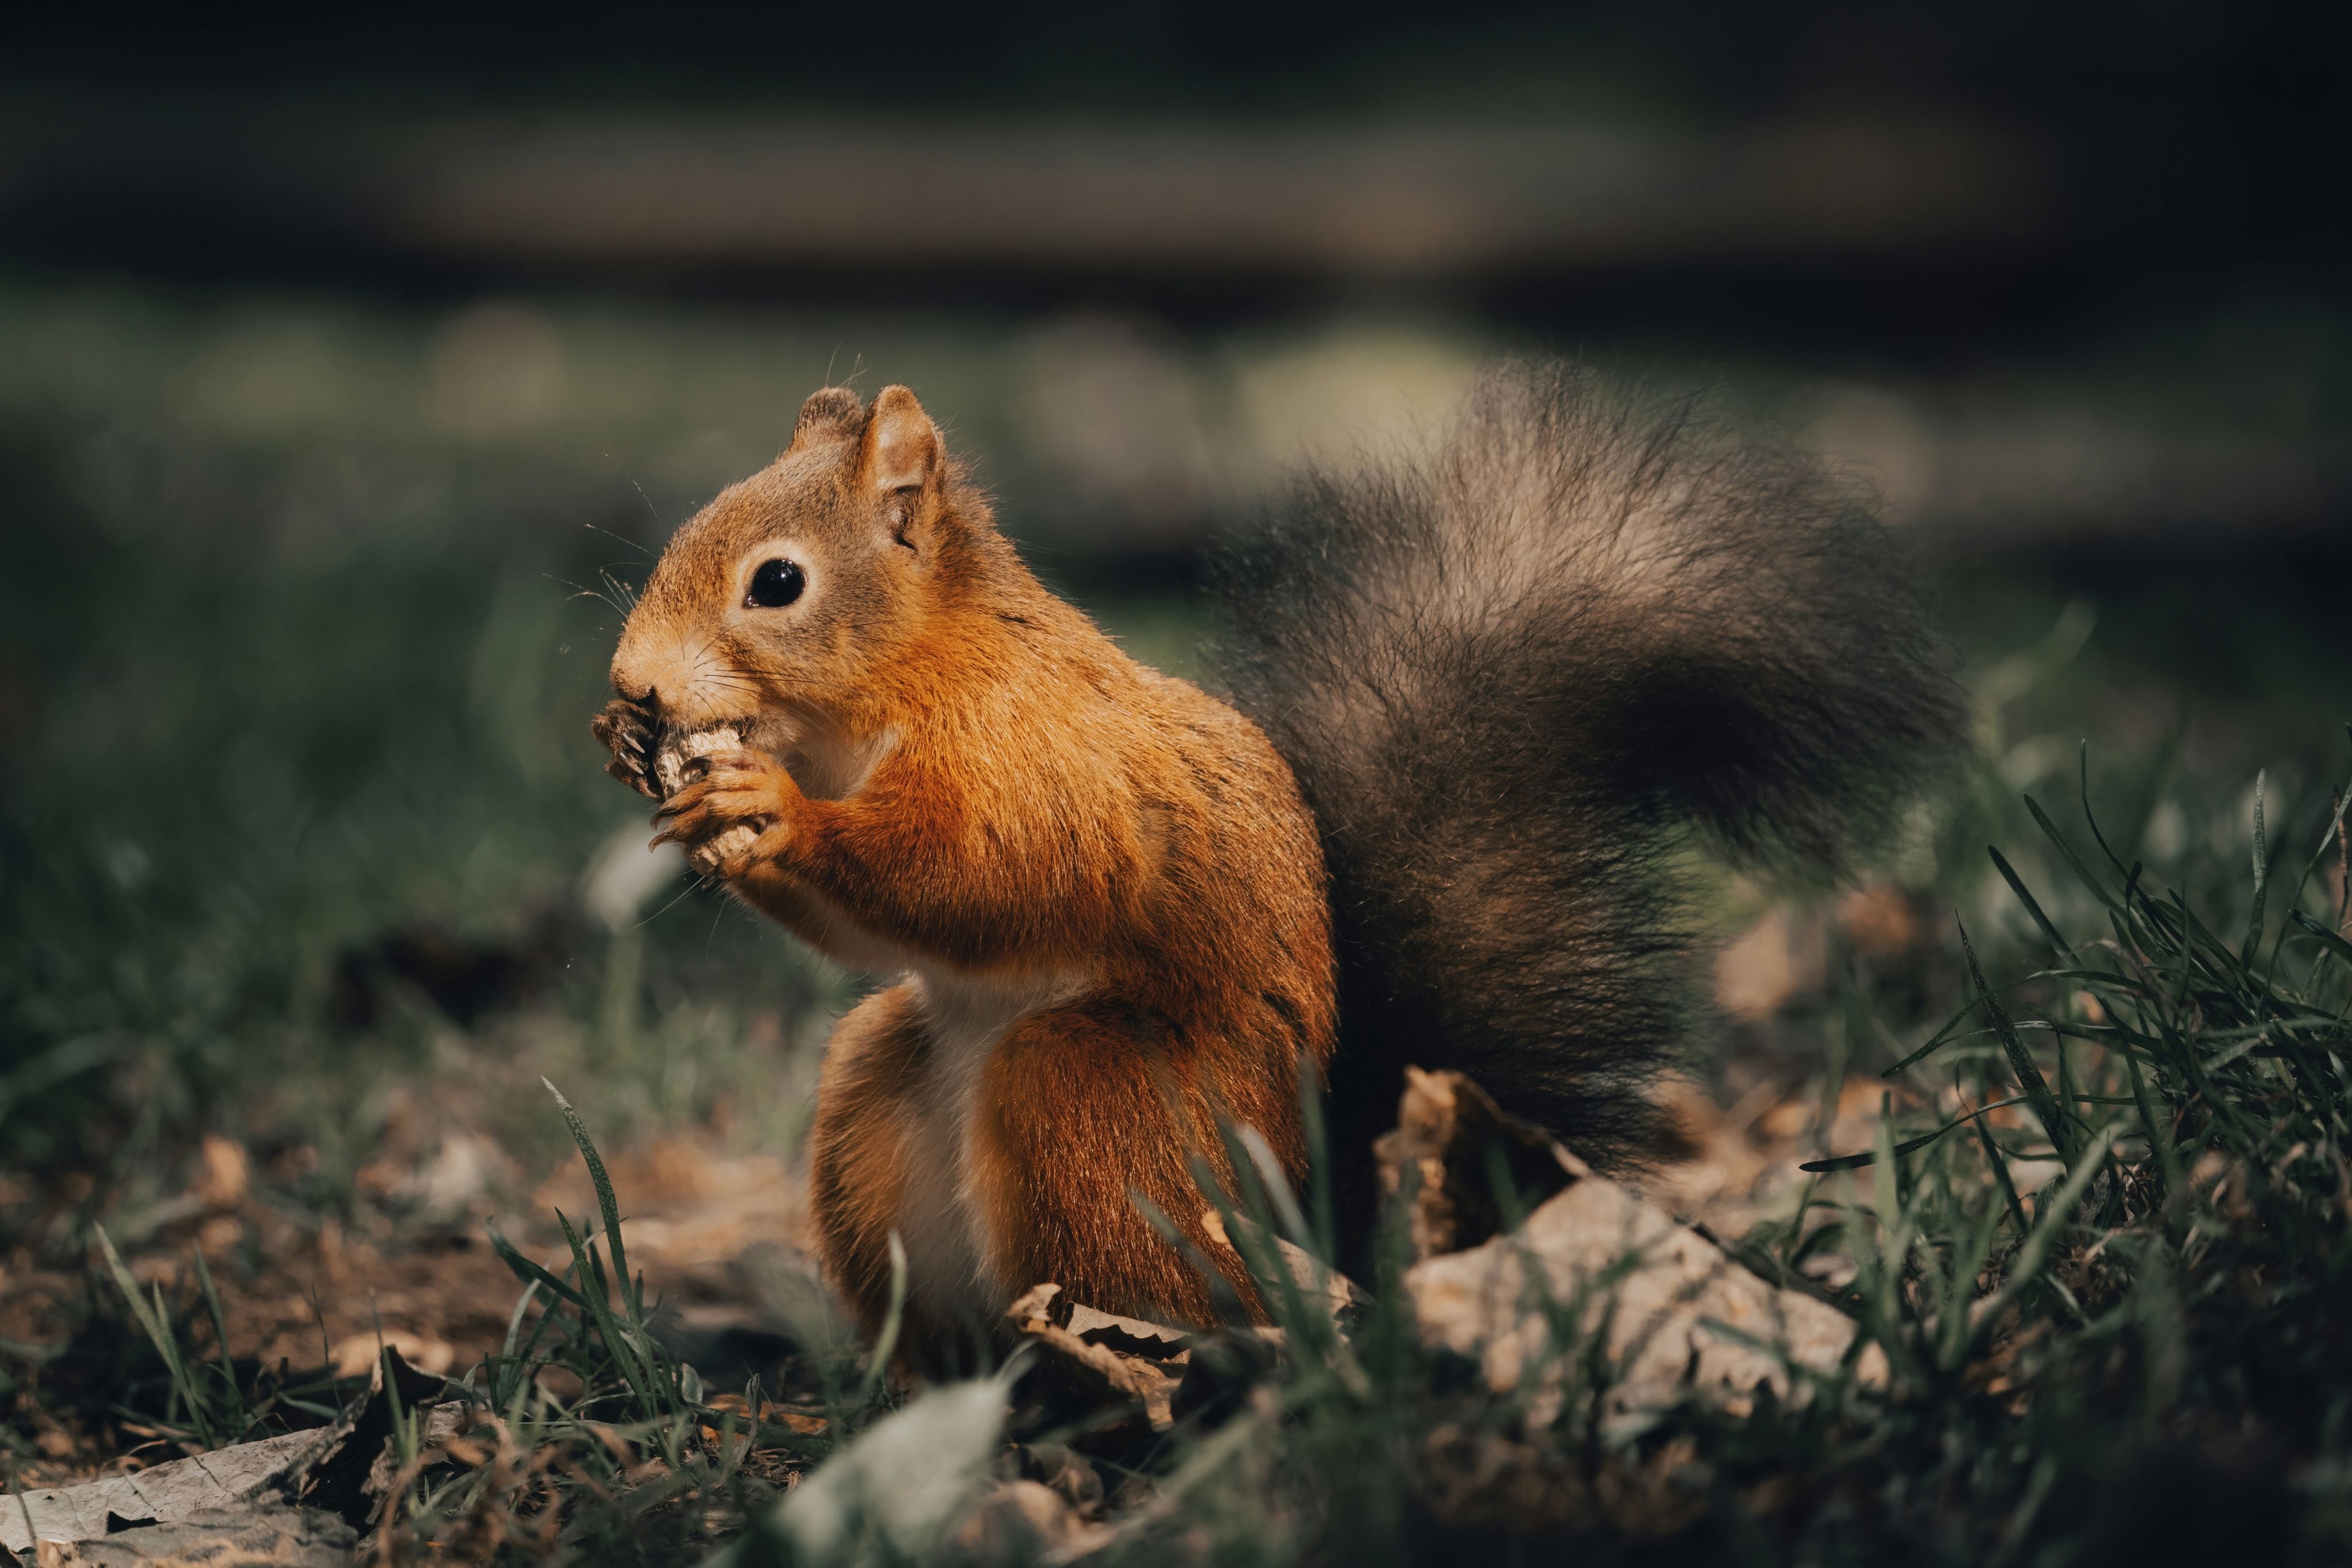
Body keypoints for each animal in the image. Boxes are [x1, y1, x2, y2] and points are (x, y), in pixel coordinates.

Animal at [591, 364, 1965, 1364]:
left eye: (778, 583)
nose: (633, 685)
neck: (903, 680)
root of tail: (1307, 1213)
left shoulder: (1032, 761)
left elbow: (984, 876)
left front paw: (772, 809)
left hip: (1099, 1101)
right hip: (882, 1100)